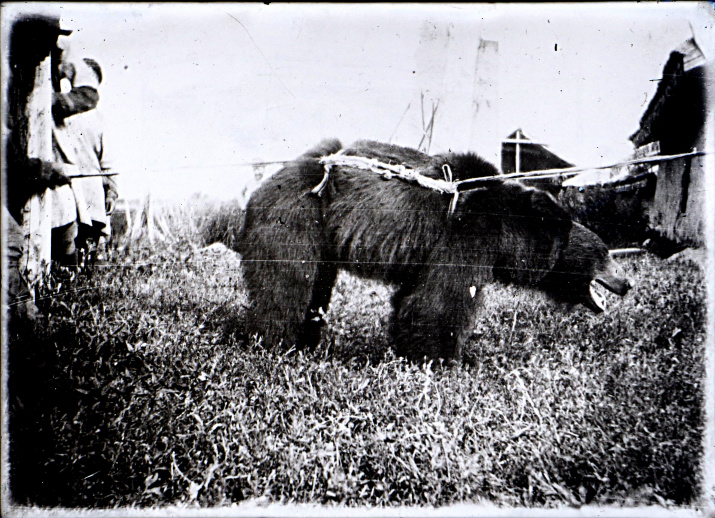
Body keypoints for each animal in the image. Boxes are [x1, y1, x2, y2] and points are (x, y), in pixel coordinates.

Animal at [236, 140, 632, 364]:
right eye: (605, 254)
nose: (627, 284)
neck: (509, 229)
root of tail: (263, 184)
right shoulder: (466, 233)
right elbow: (443, 299)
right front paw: (448, 360)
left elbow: (414, 297)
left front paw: (409, 349)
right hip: (298, 216)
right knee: (288, 282)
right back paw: (273, 342)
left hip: (322, 236)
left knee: (316, 284)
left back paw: (305, 340)